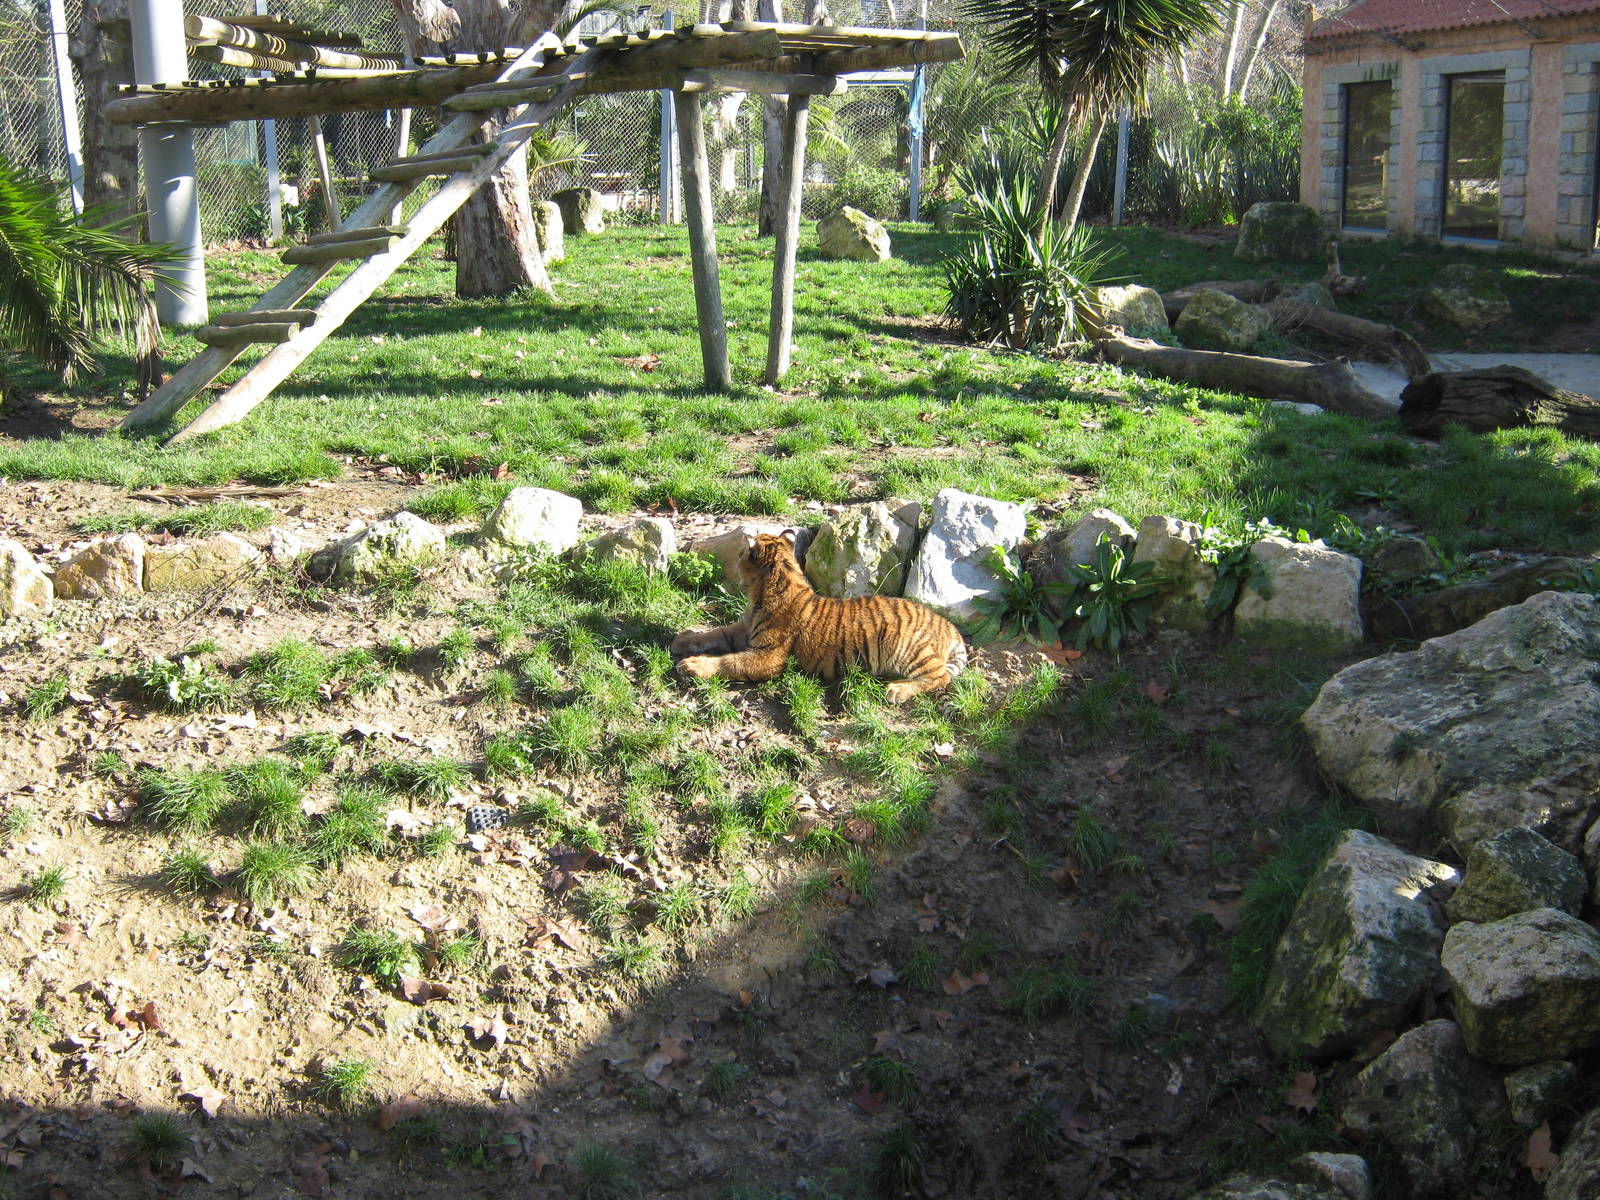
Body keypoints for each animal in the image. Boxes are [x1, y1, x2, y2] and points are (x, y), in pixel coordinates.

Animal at [671, 530, 968, 703]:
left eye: (744, 553)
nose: (738, 556)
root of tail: (949, 626)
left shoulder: (768, 657)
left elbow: (730, 662)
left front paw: (693, 665)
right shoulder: (743, 629)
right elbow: (716, 632)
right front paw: (682, 640)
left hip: (909, 649)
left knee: (940, 677)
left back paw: (897, 690)